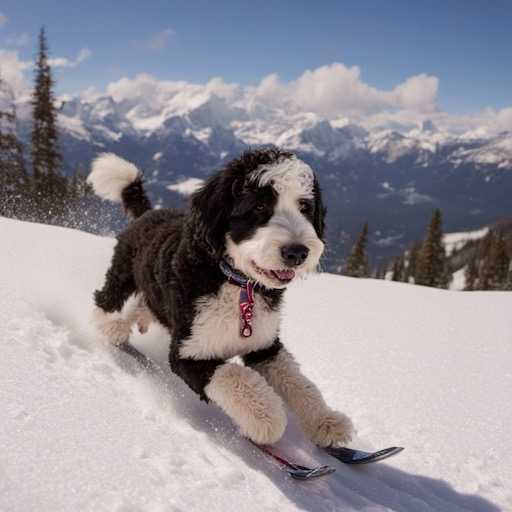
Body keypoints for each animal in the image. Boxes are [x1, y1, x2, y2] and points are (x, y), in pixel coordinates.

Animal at [88, 149, 354, 448]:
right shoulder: (188, 351)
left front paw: (327, 422)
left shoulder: (264, 345)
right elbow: (233, 376)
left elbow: (297, 381)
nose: (297, 252)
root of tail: (149, 213)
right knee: (106, 297)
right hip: (123, 270)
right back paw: (111, 327)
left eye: (304, 207)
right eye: (259, 207)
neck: (238, 285)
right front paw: (267, 419)